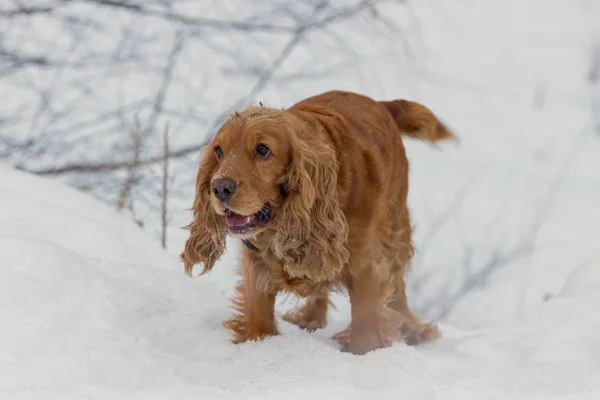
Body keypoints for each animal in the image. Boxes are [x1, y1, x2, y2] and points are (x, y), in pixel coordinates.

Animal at [180, 90, 452, 354]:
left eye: (263, 149)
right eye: (218, 151)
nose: (219, 187)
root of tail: (382, 104)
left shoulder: (365, 265)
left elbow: (366, 327)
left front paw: (365, 353)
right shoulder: (256, 266)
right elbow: (260, 319)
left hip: (395, 227)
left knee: (397, 285)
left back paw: (413, 331)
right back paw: (310, 320)